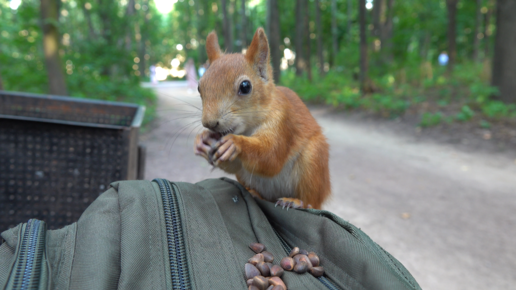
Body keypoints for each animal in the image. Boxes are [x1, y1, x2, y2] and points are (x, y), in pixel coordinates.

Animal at [194, 27, 330, 208]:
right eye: (199, 87)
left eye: (245, 86)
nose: (209, 123)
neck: (248, 129)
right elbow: (235, 164)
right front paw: (201, 141)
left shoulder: (283, 121)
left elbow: (271, 157)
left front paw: (236, 143)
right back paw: (254, 193)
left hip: (313, 161)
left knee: (312, 201)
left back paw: (296, 201)